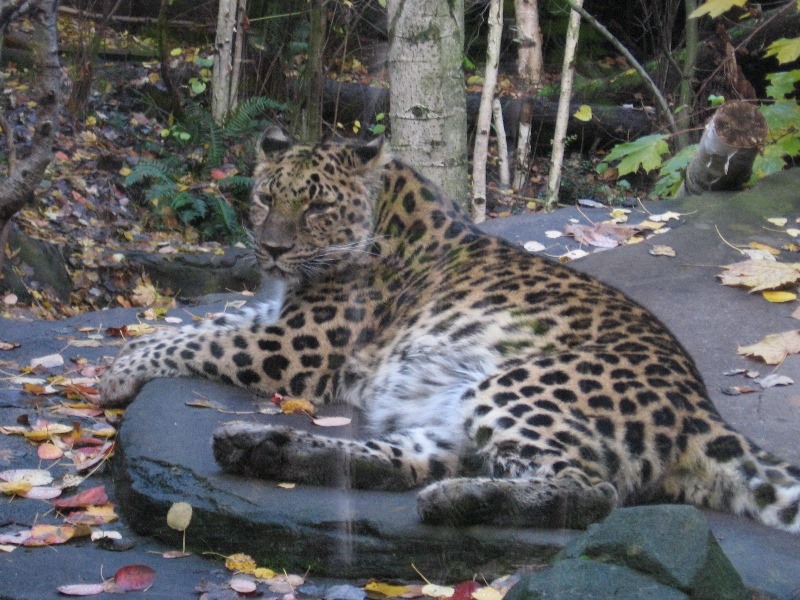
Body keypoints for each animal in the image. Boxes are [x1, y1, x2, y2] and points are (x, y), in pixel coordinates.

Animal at [100, 129, 800, 532]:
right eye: (267, 196)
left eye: (319, 205)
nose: (270, 250)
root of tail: (701, 411)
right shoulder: (275, 317)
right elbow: (202, 322)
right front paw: (121, 354)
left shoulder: (297, 343)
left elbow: (198, 339)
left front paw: (113, 375)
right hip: (451, 411)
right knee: (404, 462)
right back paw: (265, 448)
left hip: (515, 386)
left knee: (590, 490)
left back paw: (457, 501)